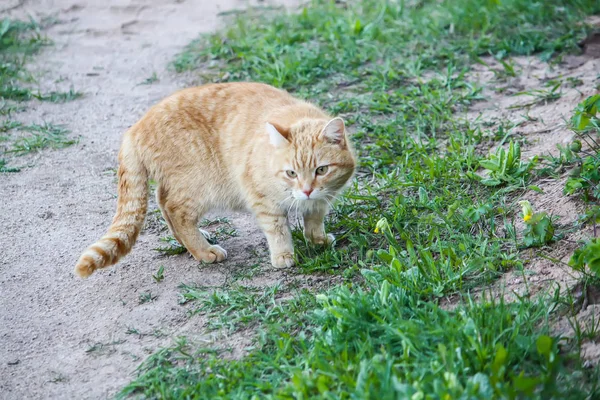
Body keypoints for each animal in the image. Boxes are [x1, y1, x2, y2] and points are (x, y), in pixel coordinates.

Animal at [75, 82, 356, 278]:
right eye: (291, 173)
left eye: (321, 170)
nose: (307, 190)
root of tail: (134, 128)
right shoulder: (262, 199)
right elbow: (277, 229)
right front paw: (283, 255)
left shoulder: (322, 199)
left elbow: (314, 219)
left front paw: (317, 240)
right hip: (199, 186)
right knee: (175, 211)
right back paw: (203, 251)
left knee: (163, 203)